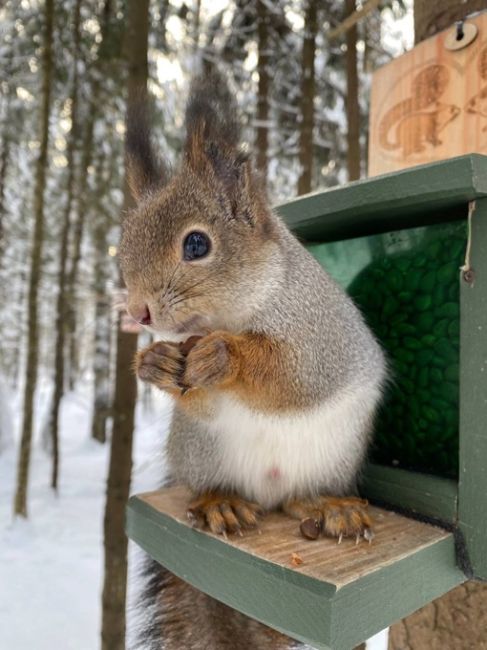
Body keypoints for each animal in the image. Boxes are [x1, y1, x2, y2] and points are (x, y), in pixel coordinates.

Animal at [122, 73, 388, 644]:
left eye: (196, 245)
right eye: (122, 248)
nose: (138, 312)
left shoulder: (321, 336)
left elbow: (293, 376)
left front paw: (225, 356)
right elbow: (198, 397)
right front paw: (155, 366)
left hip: (332, 457)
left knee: (296, 500)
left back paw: (327, 506)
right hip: (200, 453)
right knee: (212, 485)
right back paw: (218, 501)